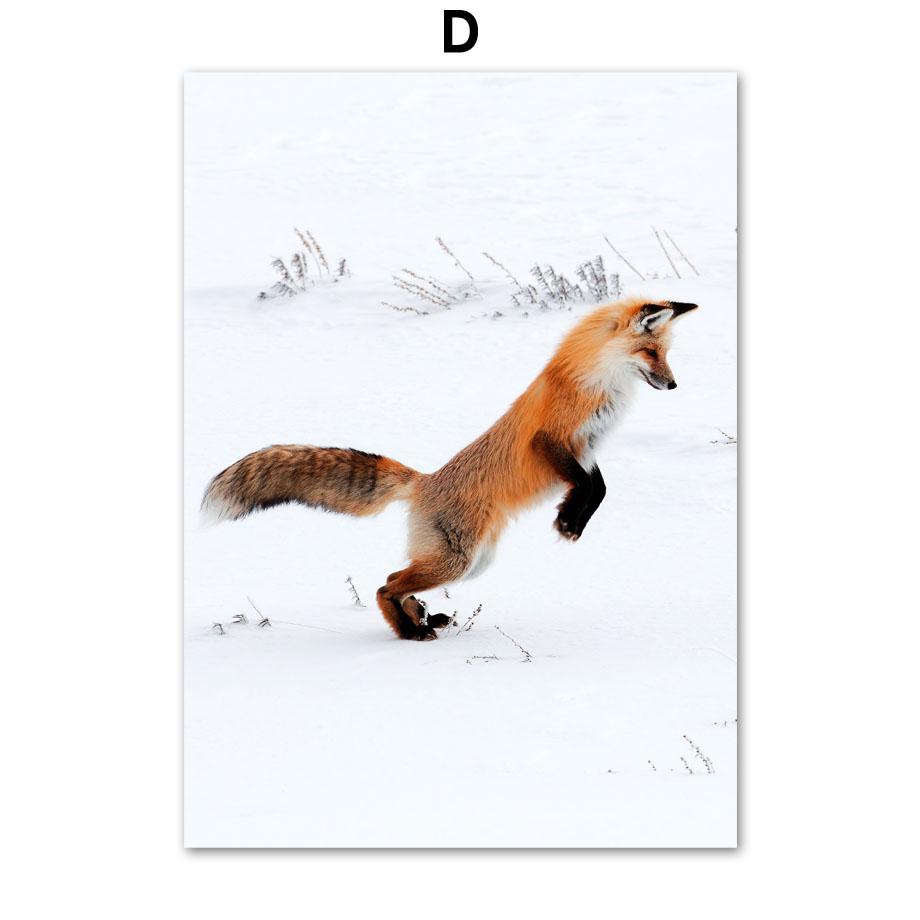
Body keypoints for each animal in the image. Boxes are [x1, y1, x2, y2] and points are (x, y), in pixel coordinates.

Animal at [202, 296, 698, 640]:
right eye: (651, 351)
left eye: (666, 352)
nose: (674, 384)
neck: (598, 383)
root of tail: (424, 481)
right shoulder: (551, 440)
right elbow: (588, 487)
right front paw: (567, 522)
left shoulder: (588, 449)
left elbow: (599, 488)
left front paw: (571, 519)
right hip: (458, 560)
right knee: (385, 586)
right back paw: (411, 632)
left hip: (473, 562)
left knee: (392, 580)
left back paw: (422, 618)